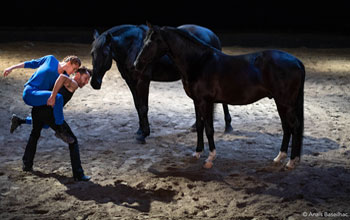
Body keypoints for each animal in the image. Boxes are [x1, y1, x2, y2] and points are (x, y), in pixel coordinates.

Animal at [90, 24, 232, 144]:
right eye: (92, 54)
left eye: (105, 54)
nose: (94, 83)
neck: (132, 46)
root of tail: (212, 34)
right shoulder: (130, 82)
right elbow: (137, 106)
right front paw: (140, 131)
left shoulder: (143, 81)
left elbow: (143, 107)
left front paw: (144, 134)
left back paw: (228, 126)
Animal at [135, 23, 304, 169]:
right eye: (144, 40)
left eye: (152, 41)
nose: (137, 64)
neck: (199, 62)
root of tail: (297, 61)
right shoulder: (197, 102)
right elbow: (200, 126)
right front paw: (197, 153)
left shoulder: (206, 102)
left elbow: (209, 129)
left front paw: (210, 158)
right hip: (281, 103)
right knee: (286, 127)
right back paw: (279, 157)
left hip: (285, 103)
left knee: (294, 126)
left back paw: (291, 162)